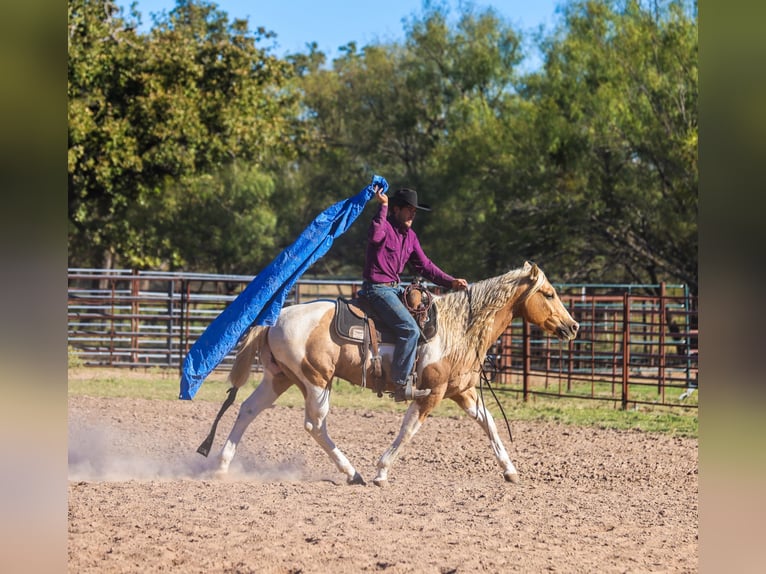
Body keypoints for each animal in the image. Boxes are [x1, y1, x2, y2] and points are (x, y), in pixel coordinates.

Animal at [211, 261, 578, 486]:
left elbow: (489, 424)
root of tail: (274, 320)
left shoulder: (463, 392)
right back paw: (352, 472)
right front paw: (381, 471)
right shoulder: (431, 393)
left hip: (280, 378)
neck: (459, 327)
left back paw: (223, 465)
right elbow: (408, 430)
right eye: (548, 293)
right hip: (315, 381)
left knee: (248, 409)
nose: (573, 326)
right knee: (314, 425)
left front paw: (511, 470)